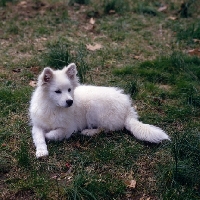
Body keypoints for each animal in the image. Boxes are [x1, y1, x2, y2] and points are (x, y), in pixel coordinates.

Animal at [29, 63, 170, 158]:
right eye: (57, 91)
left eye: (69, 90)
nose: (70, 102)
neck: (54, 108)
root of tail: (128, 108)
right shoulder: (37, 125)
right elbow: (39, 137)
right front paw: (41, 151)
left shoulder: (69, 128)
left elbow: (54, 133)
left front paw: (48, 135)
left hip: (94, 109)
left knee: (106, 129)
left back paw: (88, 132)